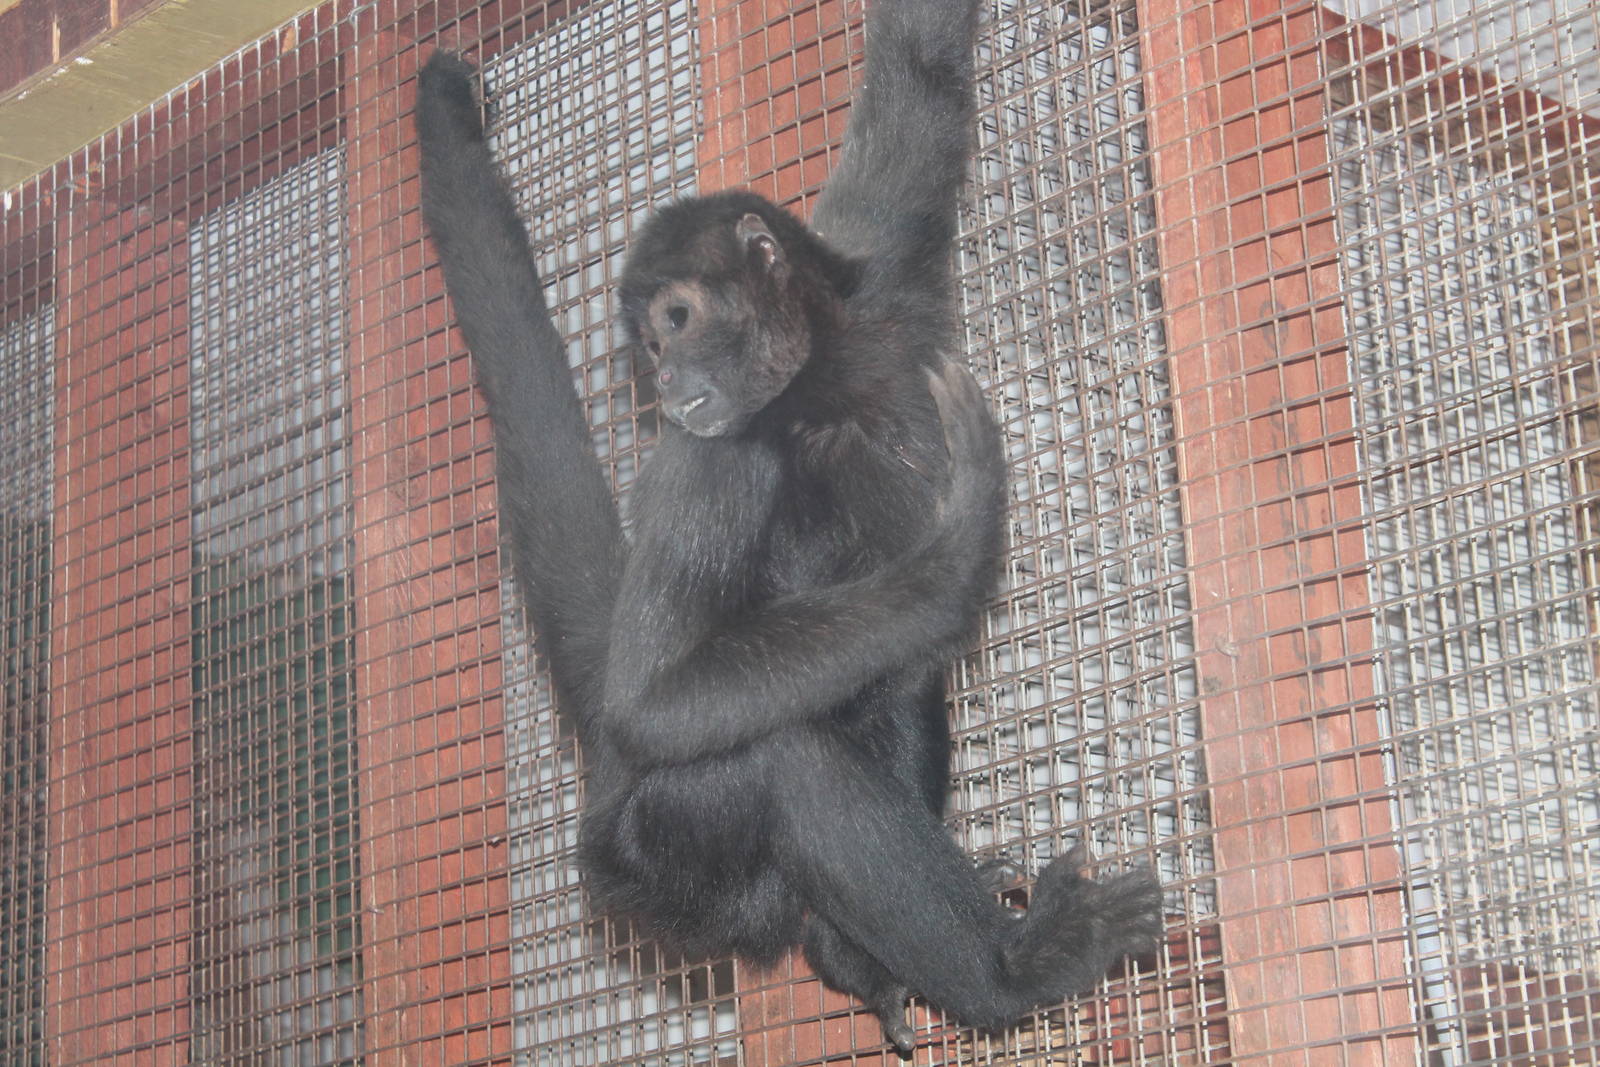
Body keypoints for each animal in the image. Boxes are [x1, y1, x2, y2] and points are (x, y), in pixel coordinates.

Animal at [414, 0, 1162, 1052]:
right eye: (649, 341)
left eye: (674, 318)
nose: (665, 379)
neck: (821, 387)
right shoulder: (715, 453)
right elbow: (656, 701)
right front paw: (959, 551)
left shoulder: (882, 278)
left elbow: (922, 64)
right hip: (661, 865)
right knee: (780, 751)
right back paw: (1014, 969)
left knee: (894, 676)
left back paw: (859, 955)